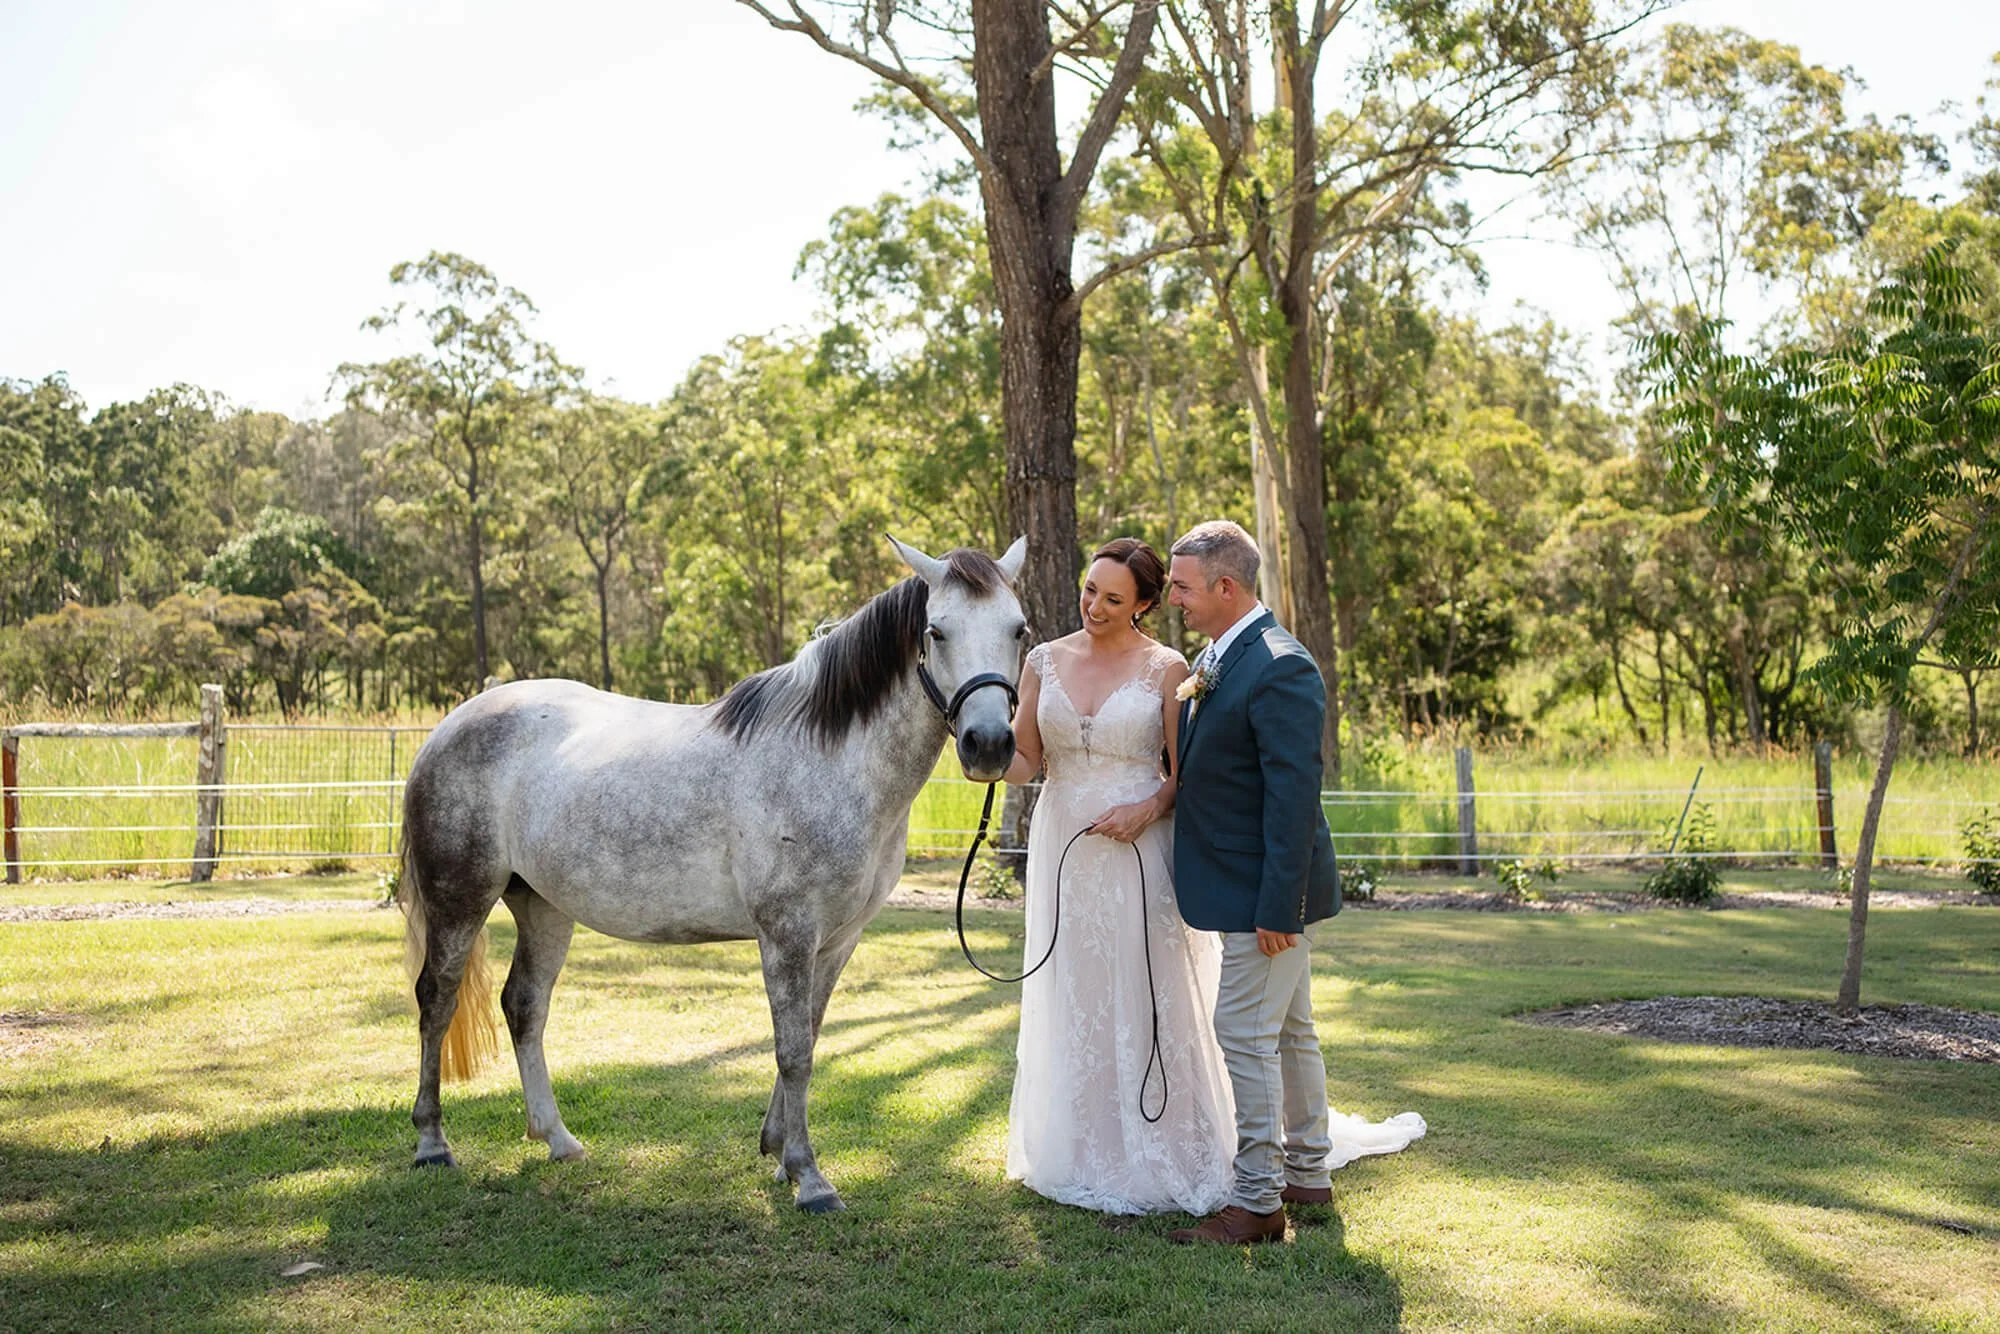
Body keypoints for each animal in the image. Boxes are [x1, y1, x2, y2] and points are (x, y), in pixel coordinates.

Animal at [395, 535, 1028, 1213]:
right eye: (937, 631)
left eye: (1019, 629)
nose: (989, 743)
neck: (831, 759)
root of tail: (448, 726)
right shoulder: (787, 932)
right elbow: (794, 1051)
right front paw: (810, 1179)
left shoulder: (837, 939)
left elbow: (809, 1035)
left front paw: (780, 1156)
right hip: (460, 898)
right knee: (436, 999)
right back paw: (432, 1144)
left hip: (543, 906)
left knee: (524, 1005)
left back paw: (557, 1139)